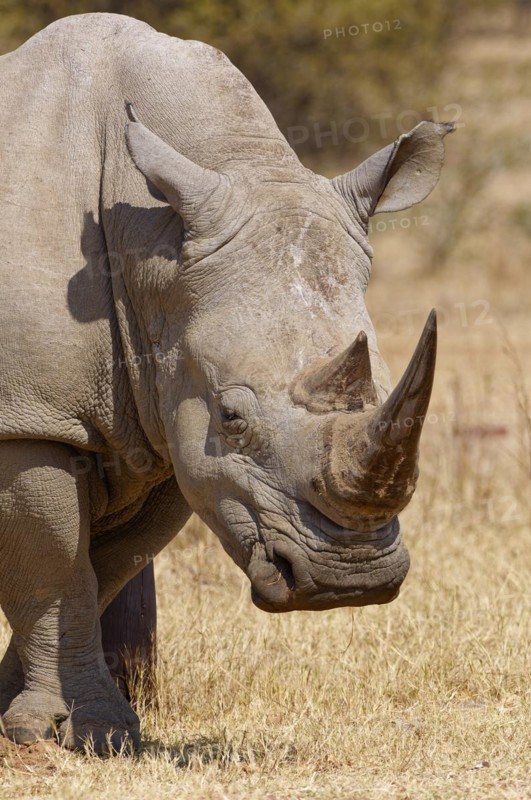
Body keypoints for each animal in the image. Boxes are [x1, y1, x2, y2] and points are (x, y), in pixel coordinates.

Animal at [0, 13, 453, 751]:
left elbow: (103, 567)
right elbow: (54, 568)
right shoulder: (30, 417)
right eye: (232, 417)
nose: (349, 581)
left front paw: (37, 714)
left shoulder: (164, 428)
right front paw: (73, 730)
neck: (151, 244)